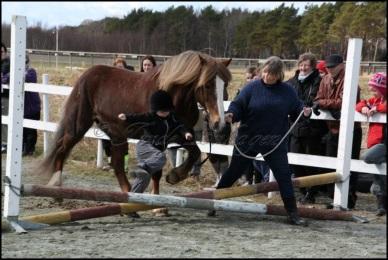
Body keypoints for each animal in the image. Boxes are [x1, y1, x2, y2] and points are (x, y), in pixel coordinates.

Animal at [41, 50, 232, 195]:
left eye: (225, 84)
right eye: (207, 85)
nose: (219, 123)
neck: (171, 96)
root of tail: (85, 76)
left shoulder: (180, 134)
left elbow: (194, 152)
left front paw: (174, 176)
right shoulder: (159, 137)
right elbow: (157, 170)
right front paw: (158, 203)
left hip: (116, 134)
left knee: (117, 164)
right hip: (79, 126)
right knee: (62, 148)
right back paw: (56, 185)